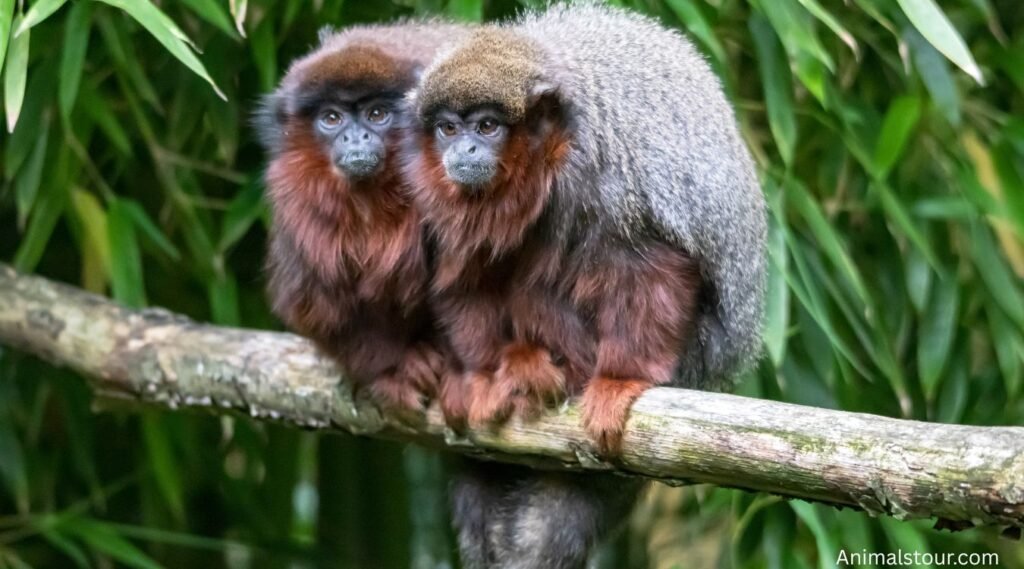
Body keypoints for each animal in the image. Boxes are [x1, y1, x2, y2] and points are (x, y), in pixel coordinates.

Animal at [402, 4, 766, 568]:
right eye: (447, 128)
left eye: (487, 126)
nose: (464, 147)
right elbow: (468, 273)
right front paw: (481, 376)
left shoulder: (603, 172)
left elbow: (647, 262)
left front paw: (620, 380)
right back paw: (524, 361)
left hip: (696, 357)